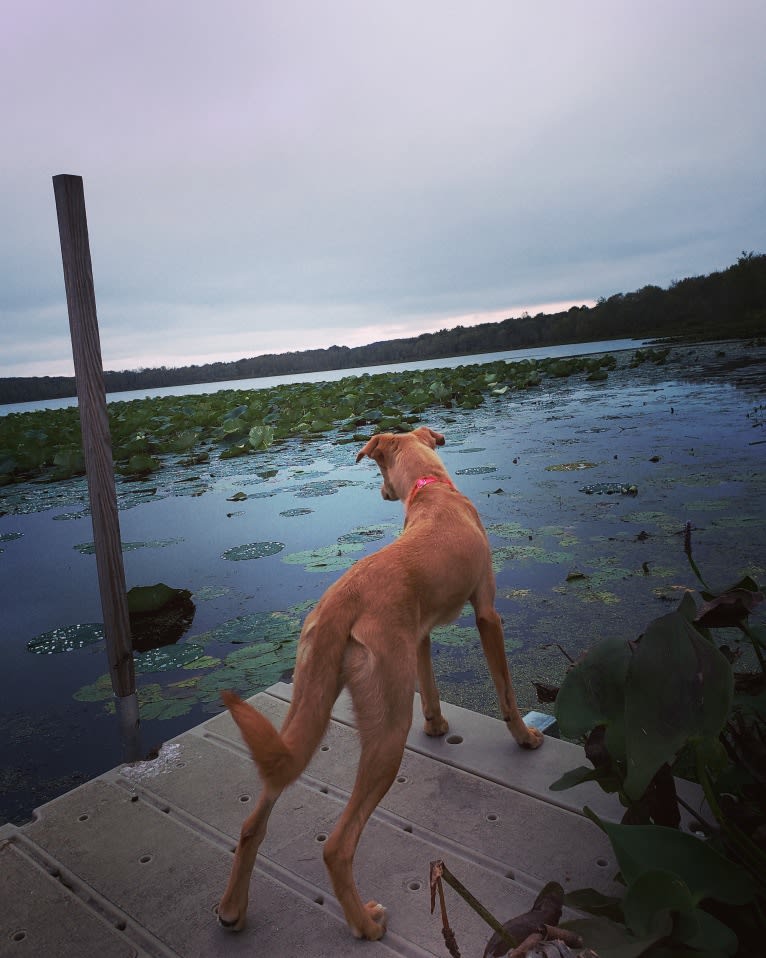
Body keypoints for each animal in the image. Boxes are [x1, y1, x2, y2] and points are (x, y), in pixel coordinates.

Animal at [218, 424, 544, 940]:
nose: (380, 491)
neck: (434, 492)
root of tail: (337, 604)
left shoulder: (421, 635)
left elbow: (430, 687)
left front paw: (436, 726)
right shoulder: (487, 612)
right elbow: (506, 689)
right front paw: (525, 737)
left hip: (303, 713)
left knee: (256, 818)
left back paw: (233, 909)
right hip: (387, 731)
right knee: (337, 845)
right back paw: (365, 924)